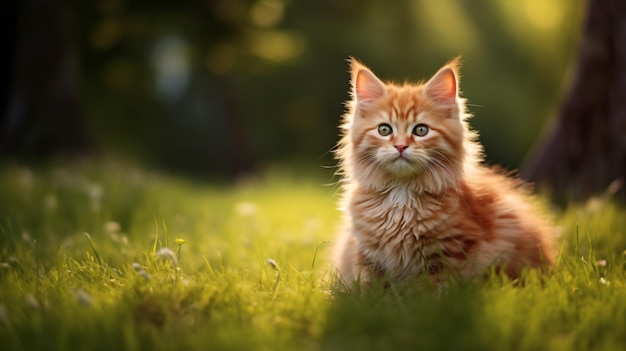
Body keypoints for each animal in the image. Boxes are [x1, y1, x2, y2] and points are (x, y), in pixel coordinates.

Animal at [334, 55, 552, 286]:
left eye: (421, 130)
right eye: (384, 130)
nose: (401, 146)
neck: (402, 195)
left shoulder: (450, 252)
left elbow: (435, 288)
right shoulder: (368, 254)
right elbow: (371, 286)